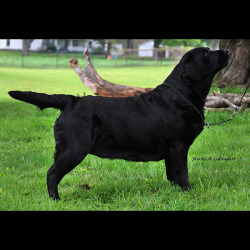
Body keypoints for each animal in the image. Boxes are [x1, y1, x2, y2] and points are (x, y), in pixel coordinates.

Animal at [8, 47, 230, 199]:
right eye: (206, 53)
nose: (227, 50)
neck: (182, 95)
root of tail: (72, 100)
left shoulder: (171, 151)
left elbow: (172, 175)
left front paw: (176, 193)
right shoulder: (178, 147)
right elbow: (182, 173)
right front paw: (188, 192)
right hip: (74, 148)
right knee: (52, 173)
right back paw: (56, 200)